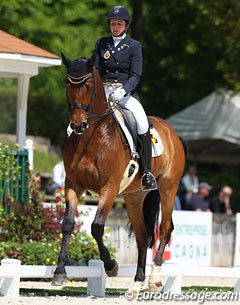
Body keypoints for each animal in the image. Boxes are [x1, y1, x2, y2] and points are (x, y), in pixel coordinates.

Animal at [52, 54, 188, 292]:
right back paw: (137, 281)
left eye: (89, 86)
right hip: (134, 196)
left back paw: (154, 279)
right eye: (67, 86)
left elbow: (97, 227)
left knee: (165, 229)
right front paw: (59, 272)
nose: (78, 125)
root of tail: (173, 133)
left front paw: (111, 266)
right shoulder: (73, 184)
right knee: (143, 236)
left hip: (168, 188)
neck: (91, 137)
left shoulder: (110, 186)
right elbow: (67, 223)